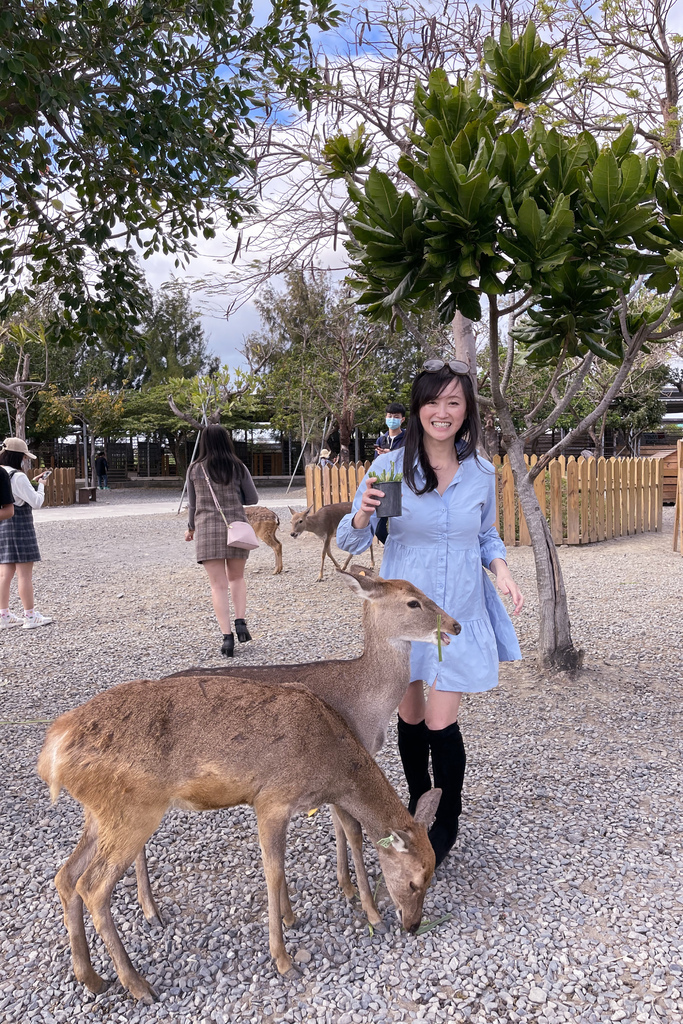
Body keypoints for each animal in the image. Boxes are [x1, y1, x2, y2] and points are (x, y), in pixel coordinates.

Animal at [38, 675, 444, 1003]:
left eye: (431, 878)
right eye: (414, 882)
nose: (412, 925)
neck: (332, 767)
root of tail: (52, 751)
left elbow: (334, 842)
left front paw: (300, 917)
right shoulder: (272, 799)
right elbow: (274, 871)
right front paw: (284, 960)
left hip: (99, 814)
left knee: (66, 876)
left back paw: (92, 979)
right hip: (133, 810)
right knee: (92, 886)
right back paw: (138, 986)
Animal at [143, 573, 464, 933]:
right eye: (413, 602)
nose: (456, 625)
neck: (367, 709)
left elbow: (339, 825)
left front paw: (347, 887)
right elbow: (350, 829)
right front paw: (361, 901)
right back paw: (151, 911)